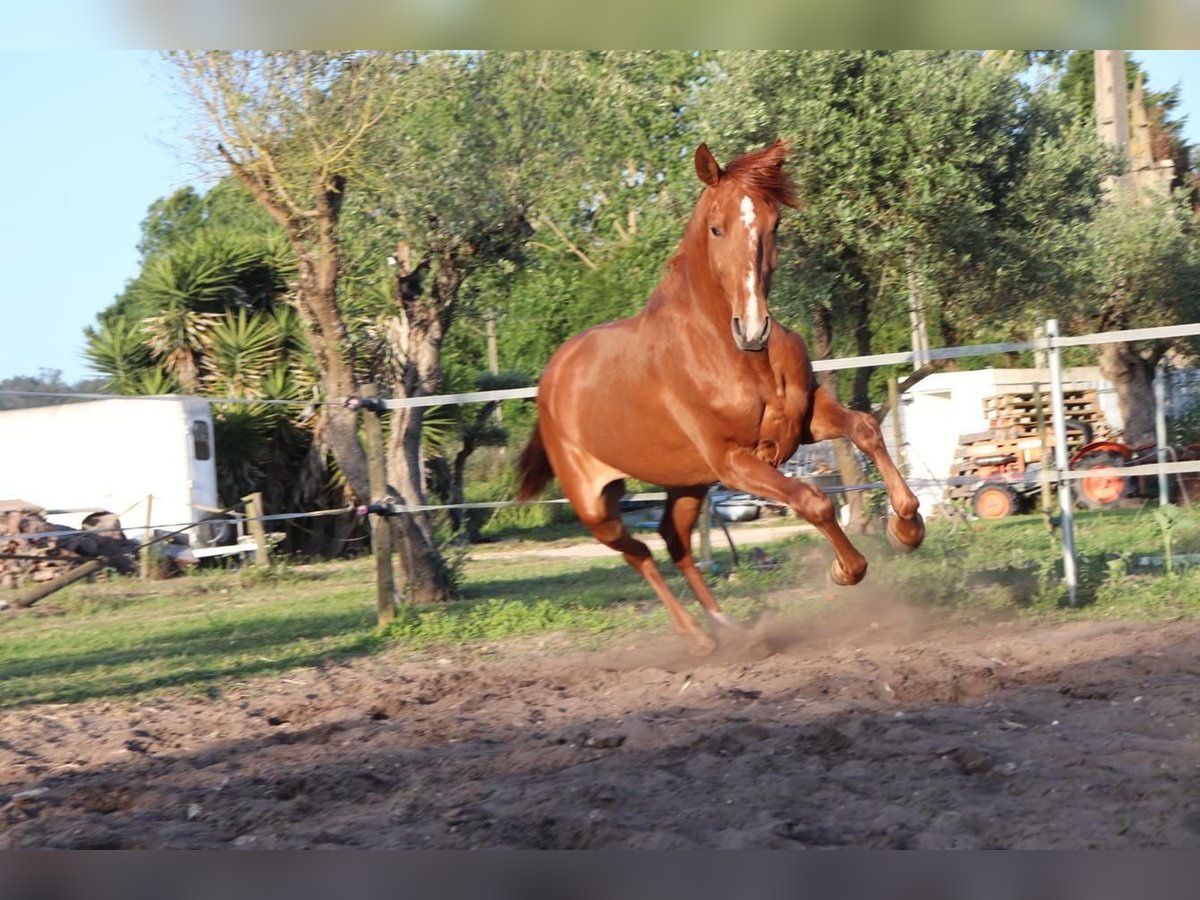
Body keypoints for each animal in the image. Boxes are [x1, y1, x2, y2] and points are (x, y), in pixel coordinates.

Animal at [511, 137, 921, 652]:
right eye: (715, 227)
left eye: (774, 224)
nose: (753, 328)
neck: (735, 357)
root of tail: (552, 378)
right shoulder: (734, 461)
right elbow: (814, 500)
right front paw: (847, 569)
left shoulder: (805, 420)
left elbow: (865, 429)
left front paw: (907, 528)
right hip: (595, 506)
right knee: (638, 552)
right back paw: (697, 637)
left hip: (686, 483)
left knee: (673, 539)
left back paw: (729, 627)